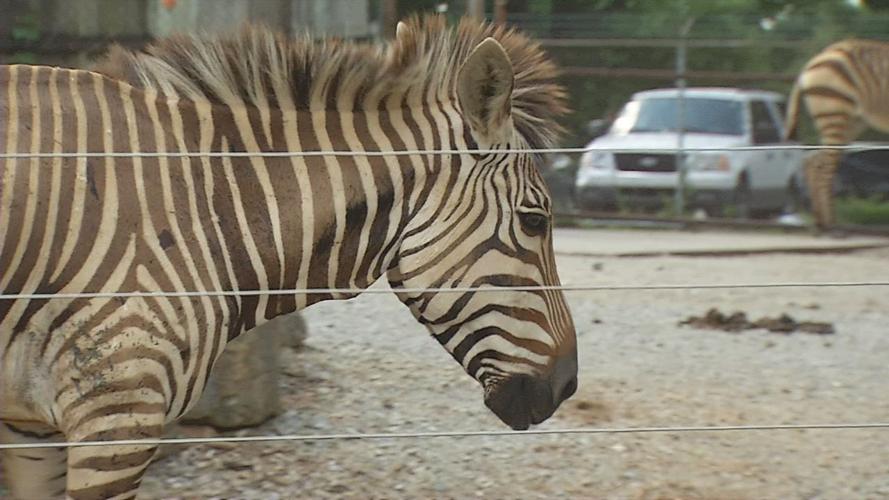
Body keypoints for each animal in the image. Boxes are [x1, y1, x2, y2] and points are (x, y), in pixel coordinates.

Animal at [784, 38, 889, 228]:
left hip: (852, 123)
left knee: (814, 163)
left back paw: (820, 223)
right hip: (834, 114)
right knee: (824, 170)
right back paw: (832, 226)